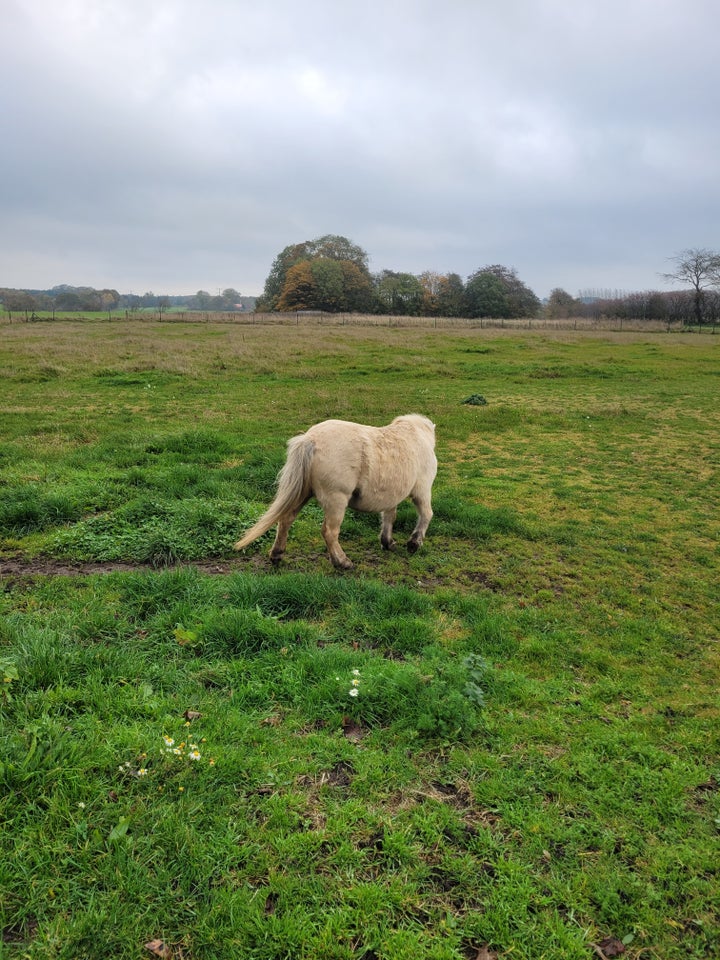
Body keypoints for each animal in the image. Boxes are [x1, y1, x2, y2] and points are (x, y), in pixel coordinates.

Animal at [236, 414, 438, 568]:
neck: (418, 435)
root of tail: (310, 439)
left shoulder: (391, 496)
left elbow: (389, 517)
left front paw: (388, 542)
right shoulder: (422, 491)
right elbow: (426, 514)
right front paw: (414, 543)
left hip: (303, 493)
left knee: (286, 519)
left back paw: (277, 555)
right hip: (336, 500)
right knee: (329, 532)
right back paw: (342, 562)